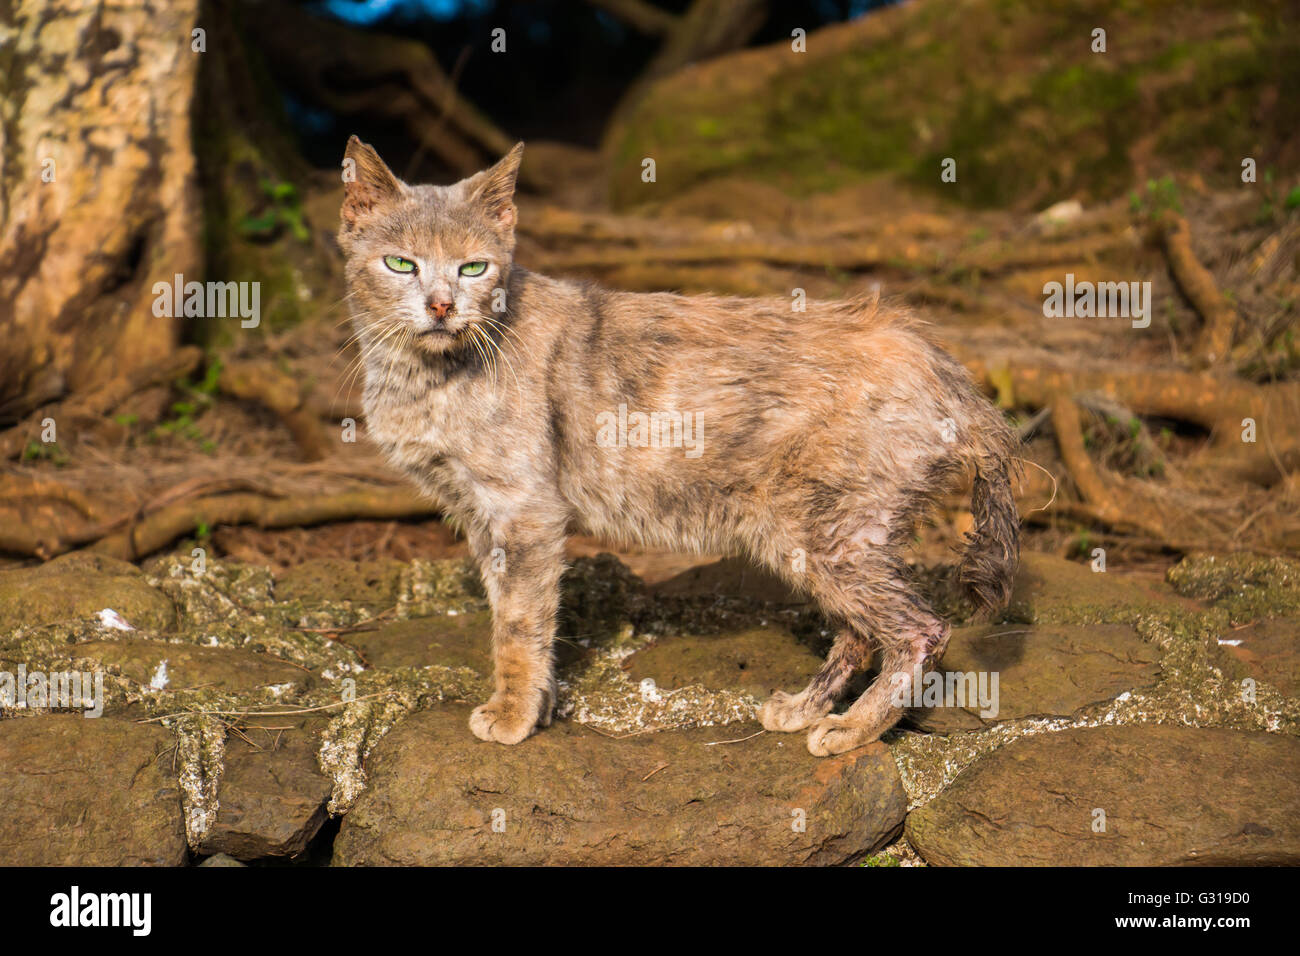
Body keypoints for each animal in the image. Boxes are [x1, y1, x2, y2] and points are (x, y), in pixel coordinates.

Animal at [340, 138, 1019, 759]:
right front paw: (543, 704)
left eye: (473, 268)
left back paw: (852, 729)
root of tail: (941, 361)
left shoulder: (524, 511)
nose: (441, 305)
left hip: (825, 533)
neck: (421, 375)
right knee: (860, 630)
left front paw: (513, 714)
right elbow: (525, 616)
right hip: (830, 536)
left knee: (920, 629)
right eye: (400, 264)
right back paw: (805, 709)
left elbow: (516, 623)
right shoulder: (483, 518)